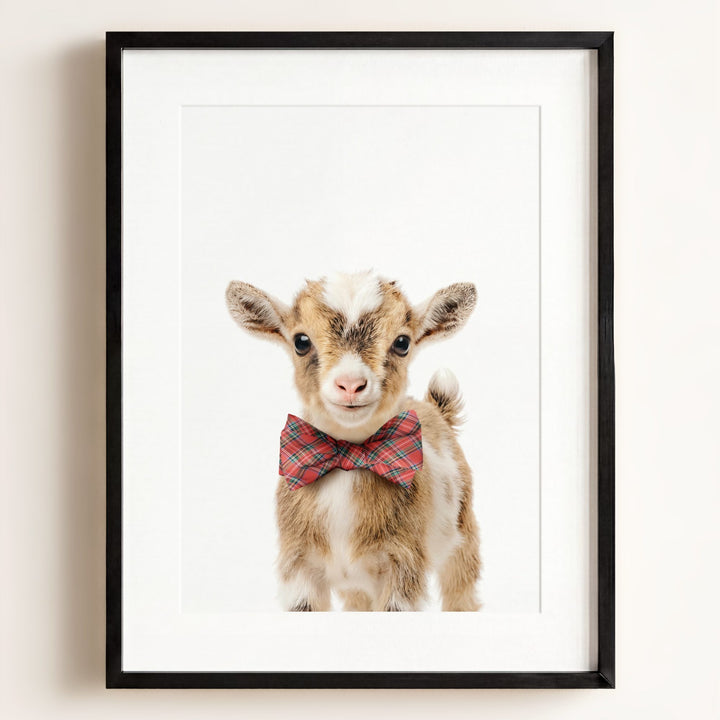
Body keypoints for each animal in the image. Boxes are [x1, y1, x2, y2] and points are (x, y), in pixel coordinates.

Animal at [226, 271, 481, 611]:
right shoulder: (298, 567)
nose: (350, 384)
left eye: (402, 343)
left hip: (464, 536)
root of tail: (436, 409)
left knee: (462, 590)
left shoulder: (403, 564)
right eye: (301, 341)